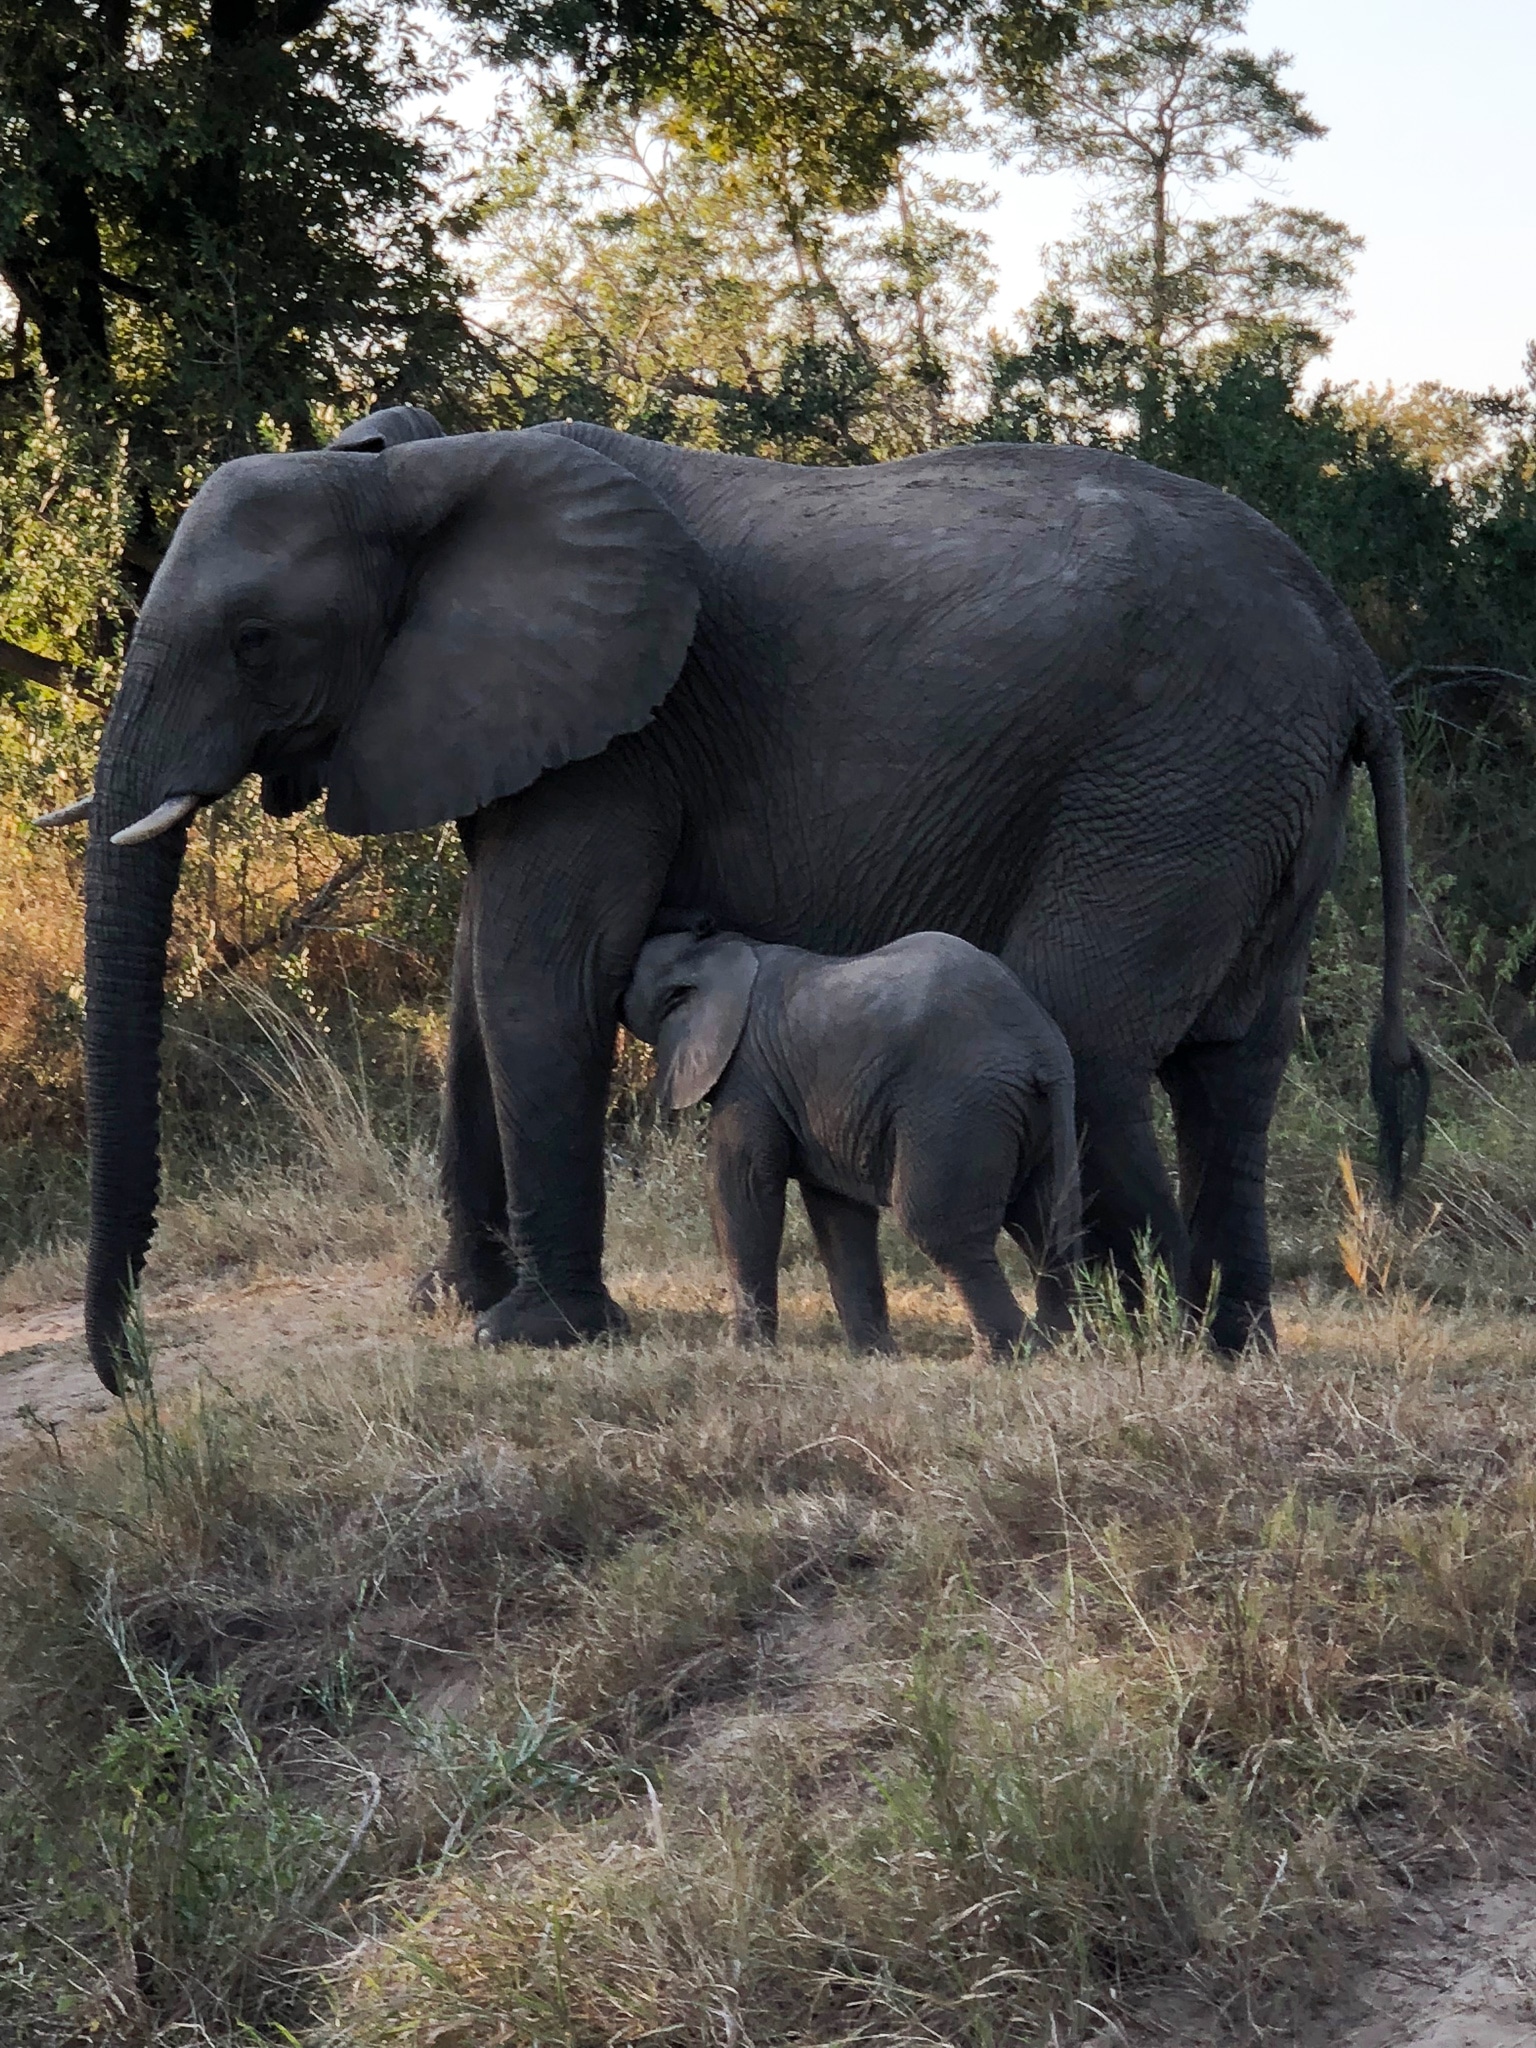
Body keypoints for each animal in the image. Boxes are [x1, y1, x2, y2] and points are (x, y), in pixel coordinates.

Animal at [621, 925, 1083, 1355]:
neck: (711, 950)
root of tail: (1042, 1050)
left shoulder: (747, 1075)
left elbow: (742, 1186)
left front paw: (744, 1353)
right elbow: (837, 1209)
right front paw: (874, 1355)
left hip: (957, 1109)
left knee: (942, 1228)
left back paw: (1006, 1357)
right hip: (1033, 1118)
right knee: (1045, 1226)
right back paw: (1061, 1345)